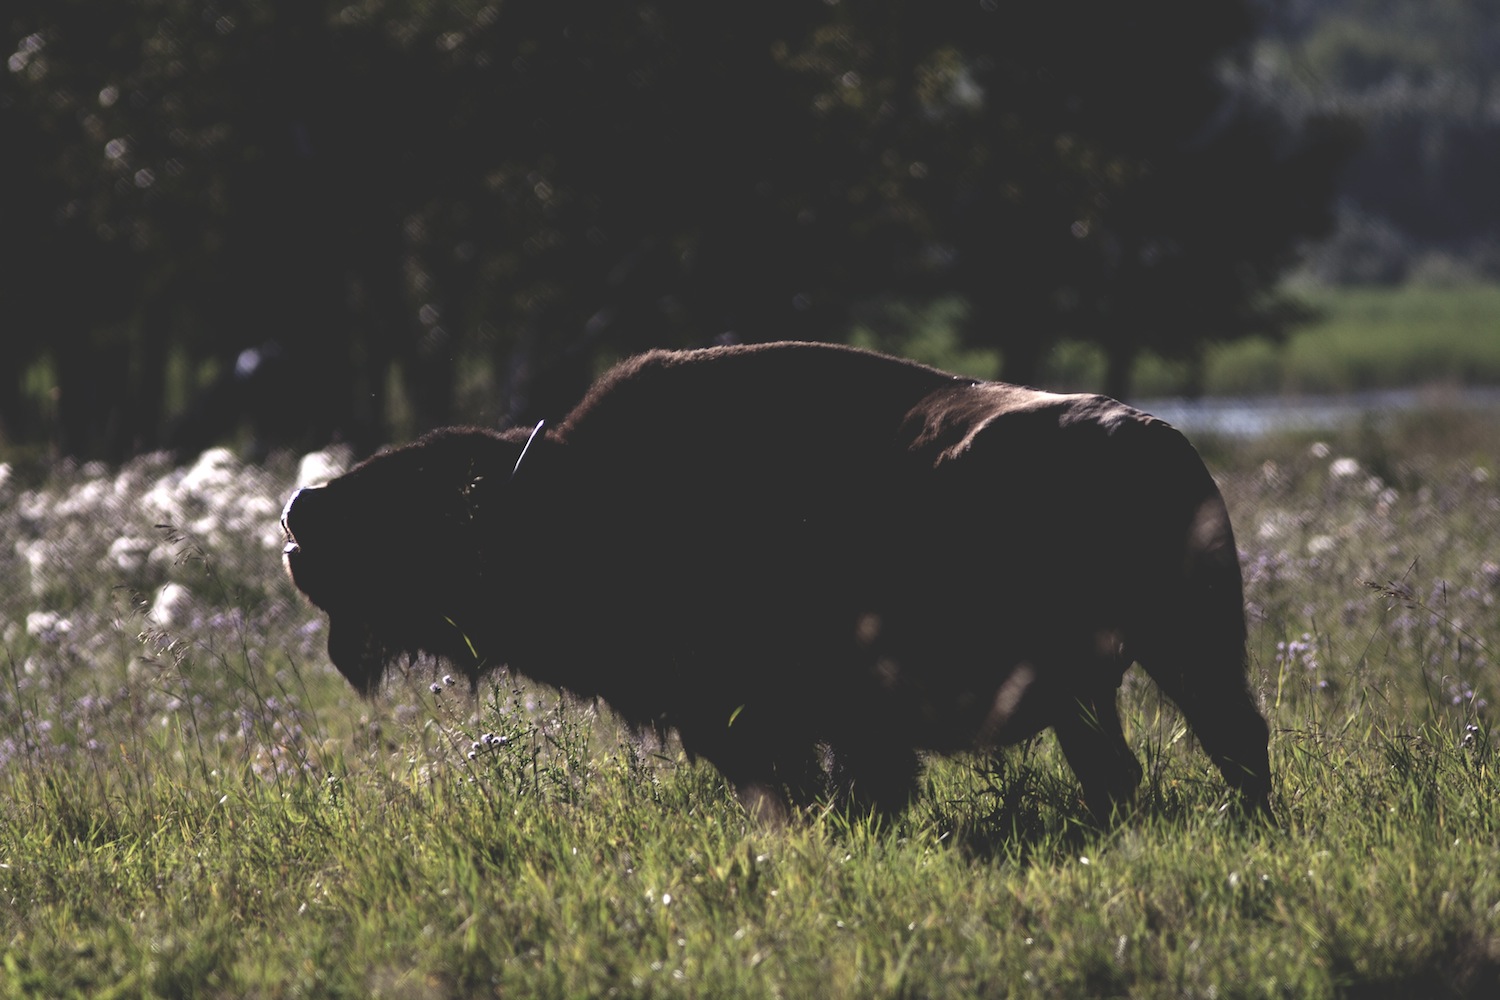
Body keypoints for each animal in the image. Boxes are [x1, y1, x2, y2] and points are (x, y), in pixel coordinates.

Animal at [282, 341, 1272, 821]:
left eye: (432, 499)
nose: (298, 514)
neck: (574, 495)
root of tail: (1164, 442)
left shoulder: (769, 720)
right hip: (1114, 681)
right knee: (1148, 761)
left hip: (1175, 656)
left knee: (1225, 741)